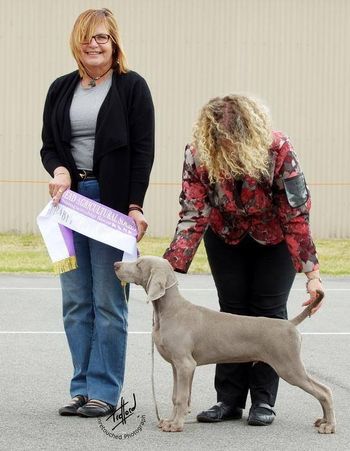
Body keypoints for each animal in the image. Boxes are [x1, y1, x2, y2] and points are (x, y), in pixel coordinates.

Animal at [113, 254, 334, 434]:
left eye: (139, 264)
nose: (116, 264)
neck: (170, 310)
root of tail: (289, 323)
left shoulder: (185, 364)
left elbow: (181, 397)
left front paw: (176, 425)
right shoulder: (178, 366)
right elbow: (176, 396)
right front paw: (170, 420)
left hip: (288, 365)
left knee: (324, 391)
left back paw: (329, 425)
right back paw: (323, 421)